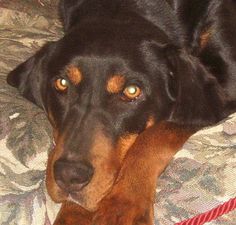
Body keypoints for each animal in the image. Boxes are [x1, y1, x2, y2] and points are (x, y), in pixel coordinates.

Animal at [6, 0, 236, 225]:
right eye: (62, 83)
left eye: (132, 91)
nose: (69, 176)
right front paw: (74, 213)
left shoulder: (222, 94)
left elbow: (155, 134)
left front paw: (123, 203)